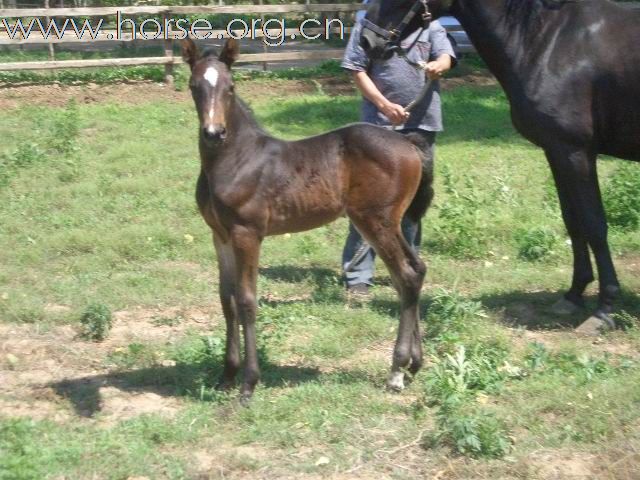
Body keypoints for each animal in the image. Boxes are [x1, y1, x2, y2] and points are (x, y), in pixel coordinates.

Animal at [184, 37, 436, 400]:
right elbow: (226, 298)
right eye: (194, 87)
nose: (214, 133)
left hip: (376, 220)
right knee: (412, 273)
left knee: (406, 275)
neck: (237, 159)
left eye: (230, 87)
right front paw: (226, 376)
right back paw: (413, 364)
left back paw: (396, 371)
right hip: (385, 223)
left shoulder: (248, 234)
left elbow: (246, 301)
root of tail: (408, 141)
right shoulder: (220, 235)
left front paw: (248, 383)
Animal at [362, 0, 636, 330]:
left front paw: (604, 308)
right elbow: (574, 222)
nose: (367, 40)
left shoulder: (577, 152)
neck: (550, 41)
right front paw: (573, 295)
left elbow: (594, 225)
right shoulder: (558, 152)